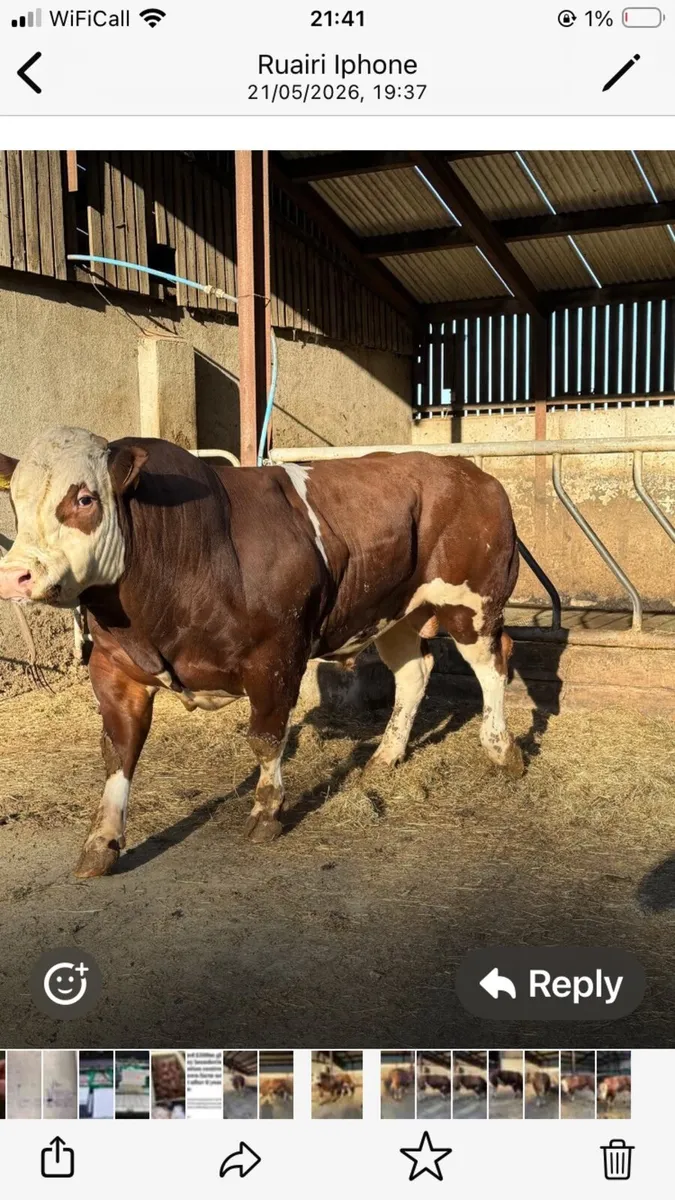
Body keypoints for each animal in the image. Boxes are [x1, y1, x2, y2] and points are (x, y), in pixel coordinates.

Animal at [0, 427, 524, 877]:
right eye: (15, 502)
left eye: (84, 499)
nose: (15, 575)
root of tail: (468, 472)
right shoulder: (113, 667)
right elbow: (118, 748)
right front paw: (101, 841)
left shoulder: (276, 654)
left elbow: (266, 738)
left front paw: (267, 810)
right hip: (394, 609)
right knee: (414, 673)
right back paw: (387, 754)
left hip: (473, 603)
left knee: (493, 664)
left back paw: (502, 750)